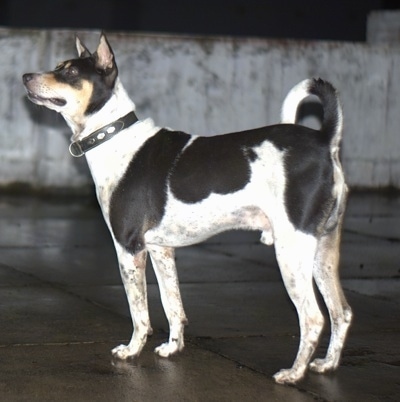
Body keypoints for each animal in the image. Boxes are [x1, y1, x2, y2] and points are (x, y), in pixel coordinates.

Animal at [22, 33, 354, 384]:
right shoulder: (161, 249)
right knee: (341, 312)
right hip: (322, 250)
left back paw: (293, 373)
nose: (26, 76)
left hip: (292, 252)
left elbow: (139, 312)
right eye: (57, 67)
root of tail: (325, 140)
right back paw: (327, 364)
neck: (114, 138)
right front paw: (172, 347)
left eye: (70, 72)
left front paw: (132, 350)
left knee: (313, 317)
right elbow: (172, 305)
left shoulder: (129, 247)